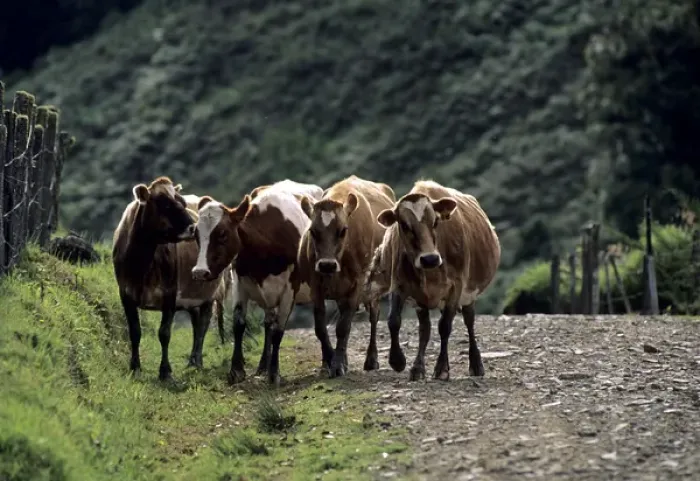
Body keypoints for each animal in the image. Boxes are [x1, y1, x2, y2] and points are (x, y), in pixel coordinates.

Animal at [112, 176, 228, 381]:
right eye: (165, 204)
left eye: (182, 203)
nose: (194, 228)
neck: (141, 263)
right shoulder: (125, 293)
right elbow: (134, 331)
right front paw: (135, 367)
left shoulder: (170, 294)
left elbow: (164, 333)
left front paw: (165, 371)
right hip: (192, 296)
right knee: (196, 323)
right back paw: (192, 361)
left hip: (210, 292)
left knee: (203, 325)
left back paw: (197, 362)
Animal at [188, 179, 324, 386]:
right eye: (196, 234)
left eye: (222, 233)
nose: (199, 272)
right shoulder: (240, 283)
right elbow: (239, 324)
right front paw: (236, 370)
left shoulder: (289, 290)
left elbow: (279, 331)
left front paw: (274, 373)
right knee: (268, 323)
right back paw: (262, 366)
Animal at [297, 175, 396, 378]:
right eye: (313, 231)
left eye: (343, 230)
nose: (326, 264)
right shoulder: (315, 286)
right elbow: (321, 328)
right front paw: (329, 361)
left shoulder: (358, 284)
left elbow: (343, 327)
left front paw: (337, 365)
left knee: (373, 317)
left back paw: (371, 359)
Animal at [365, 179, 500, 381]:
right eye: (404, 225)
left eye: (435, 222)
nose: (429, 259)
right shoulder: (400, 285)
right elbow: (394, 321)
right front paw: (398, 361)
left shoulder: (456, 287)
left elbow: (445, 326)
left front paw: (442, 368)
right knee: (425, 329)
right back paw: (418, 367)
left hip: (468, 294)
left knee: (469, 321)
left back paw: (476, 364)